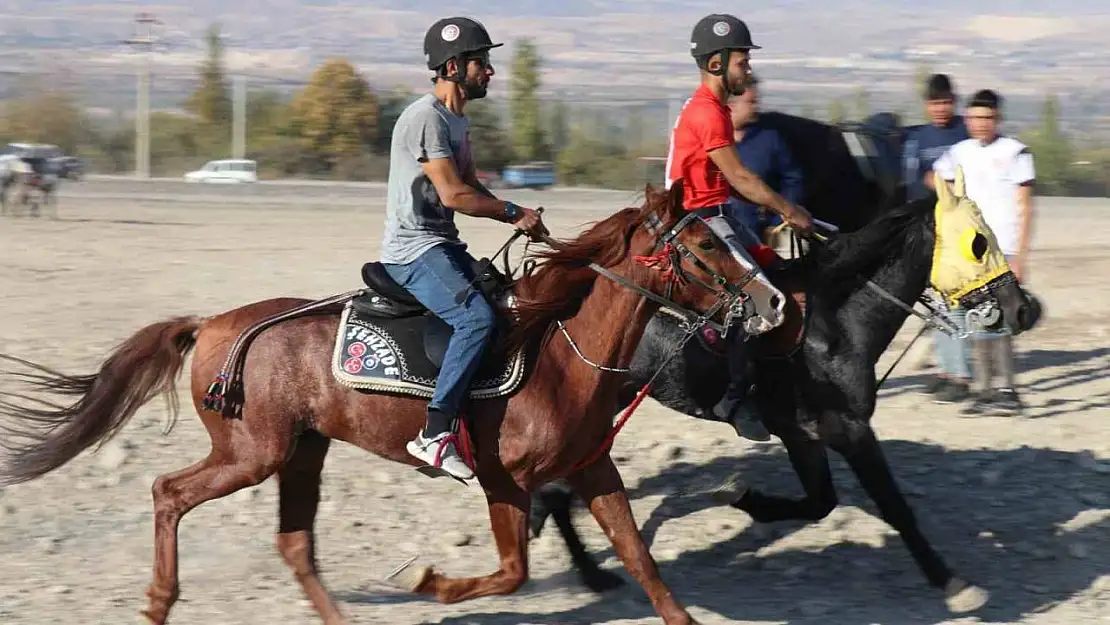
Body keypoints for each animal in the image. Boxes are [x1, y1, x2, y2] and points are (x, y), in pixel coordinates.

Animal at [0, 183, 754, 625]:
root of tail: (212, 324)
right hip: (250, 452)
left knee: (294, 542)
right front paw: (427, 581)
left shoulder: (594, 468)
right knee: (168, 491)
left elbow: (642, 562)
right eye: (703, 243)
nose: (768, 300)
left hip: (302, 450)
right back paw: (158, 601)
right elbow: (511, 572)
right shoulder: (504, 480)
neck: (559, 352)